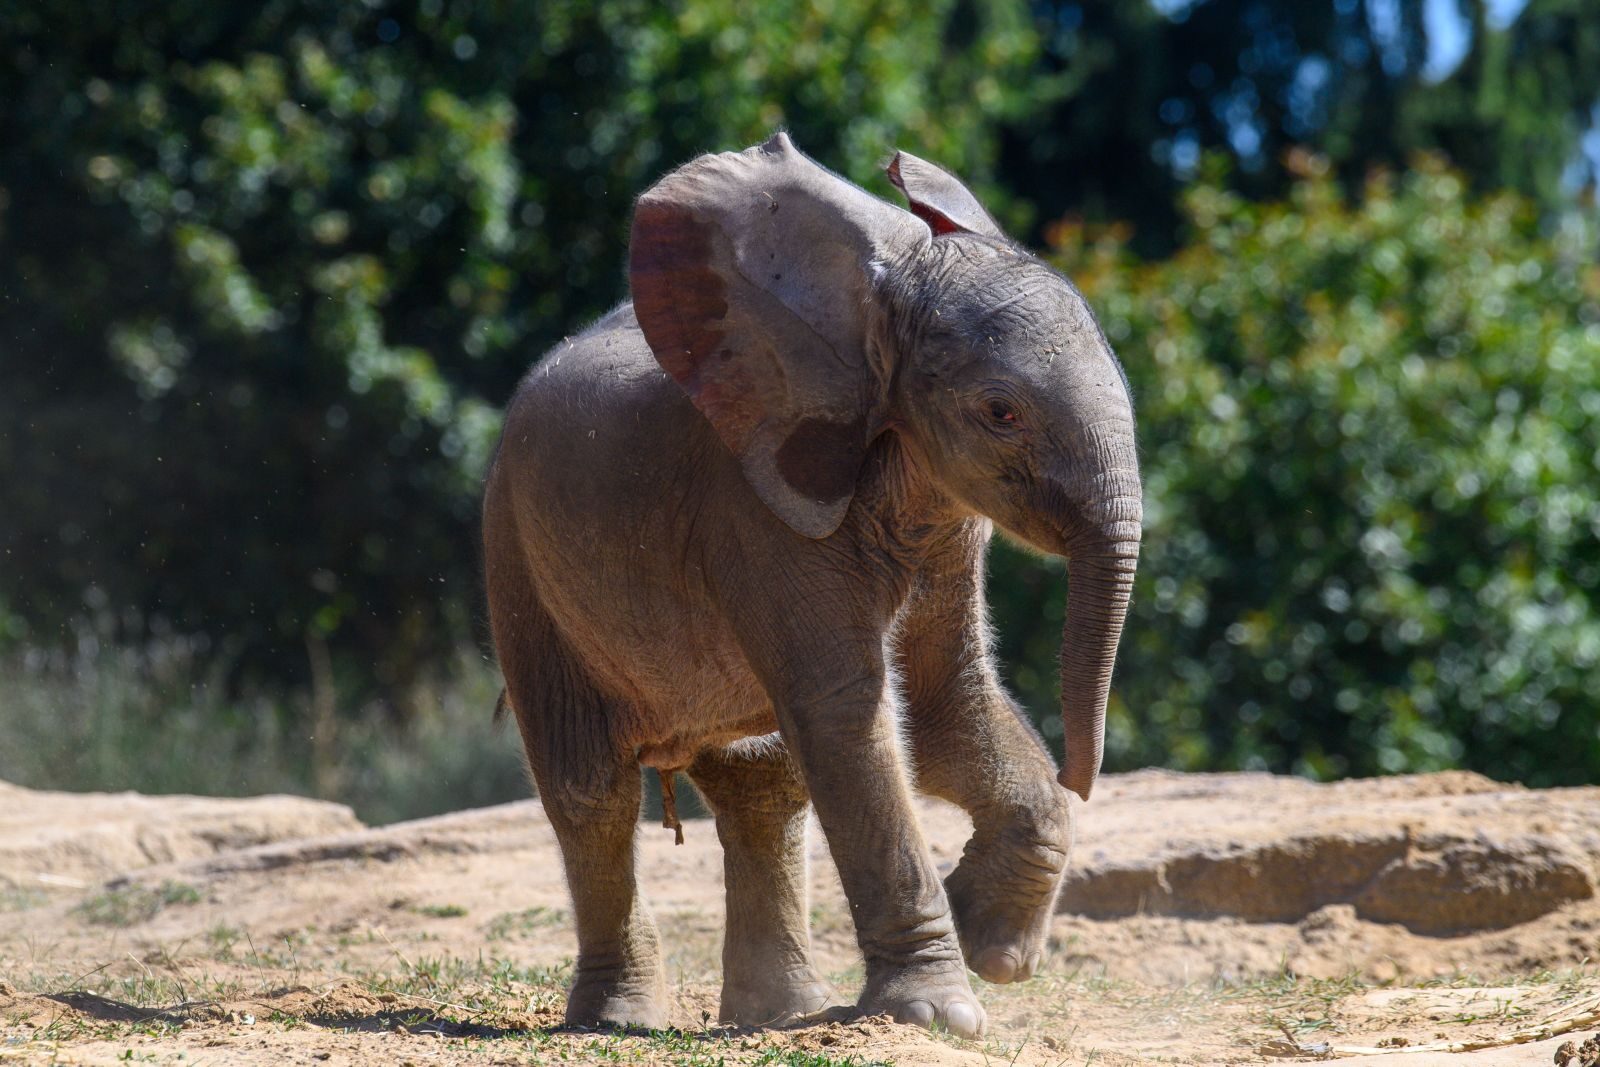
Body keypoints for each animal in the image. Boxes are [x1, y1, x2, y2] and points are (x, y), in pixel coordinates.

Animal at [481, 133, 1141, 1038]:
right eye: (1000, 412)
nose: (1085, 774)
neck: (879, 299)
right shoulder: (756, 510)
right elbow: (849, 713)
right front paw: (943, 1011)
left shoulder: (943, 519)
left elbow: (946, 704)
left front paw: (991, 948)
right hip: (521, 562)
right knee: (592, 792)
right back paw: (618, 1021)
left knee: (762, 783)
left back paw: (776, 1014)